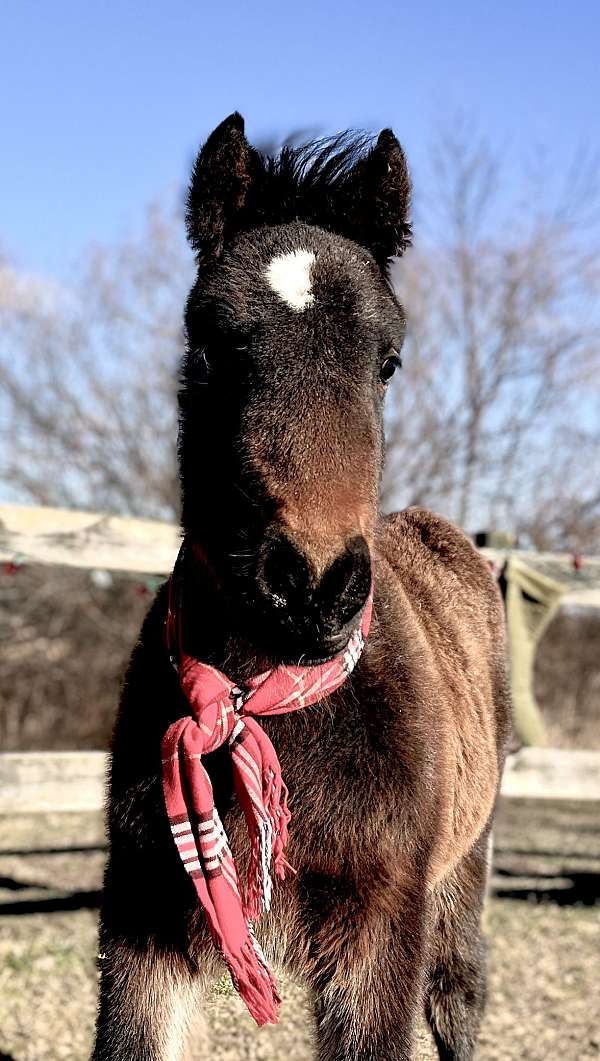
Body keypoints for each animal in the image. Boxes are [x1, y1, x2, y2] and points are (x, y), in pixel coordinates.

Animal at [92, 114, 513, 1061]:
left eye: (389, 361)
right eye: (209, 344)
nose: (314, 584)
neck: (264, 699)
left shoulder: (383, 926)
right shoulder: (144, 919)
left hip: (462, 871)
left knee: (458, 998)